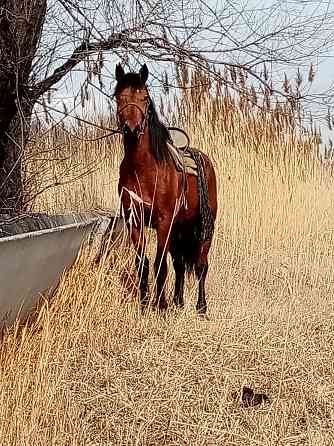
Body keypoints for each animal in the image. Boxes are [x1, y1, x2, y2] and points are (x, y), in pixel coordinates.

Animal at [115, 63, 219, 314]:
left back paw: (201, 307)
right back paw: (178, 301)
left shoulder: (164, 222)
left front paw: (160, 305)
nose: (131, 129)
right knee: (180, 264)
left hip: (204, 229)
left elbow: (159, 264)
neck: (143, 169)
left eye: (144, 98)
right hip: (179, 230)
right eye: (119, 97)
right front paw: (145, 302)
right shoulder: (135, 222)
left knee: (201, 265)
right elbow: (142, 263)